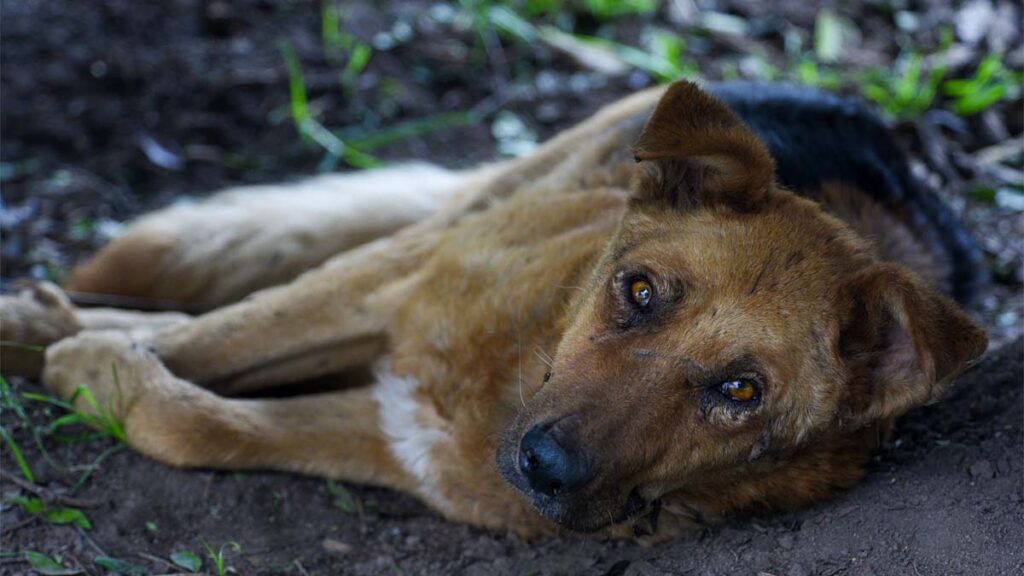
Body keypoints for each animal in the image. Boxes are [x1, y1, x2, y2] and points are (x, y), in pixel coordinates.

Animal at [4, 80, 987, 537]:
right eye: (638, 292)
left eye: (740, 392)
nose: (546, 467)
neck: (519, 363)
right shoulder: (383, 292)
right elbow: (219, 341)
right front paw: (78, 351)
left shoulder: (395, 444)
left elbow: (199, 424)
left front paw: (100, 378)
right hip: (477, 205)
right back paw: (45, 320)